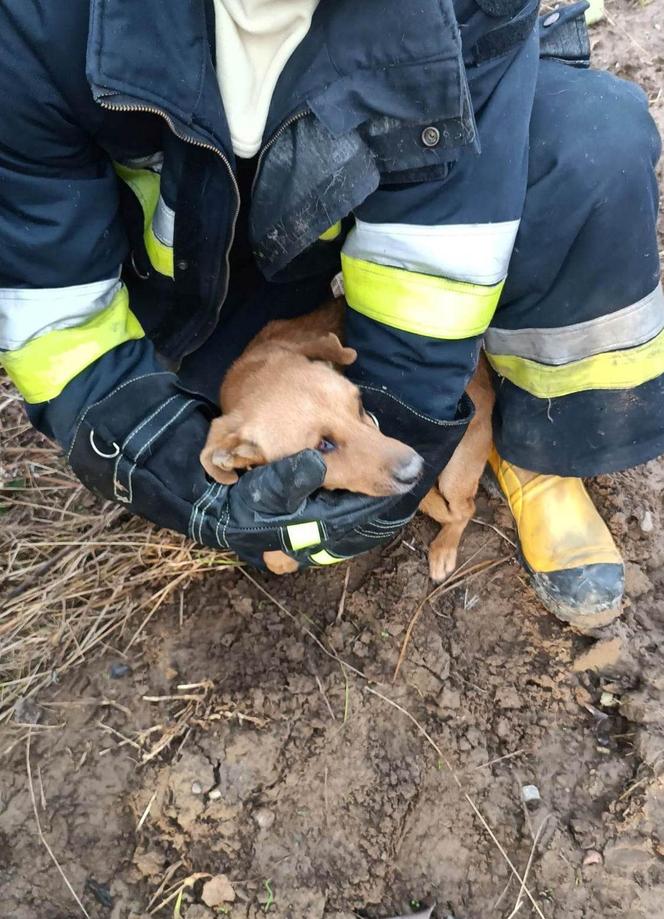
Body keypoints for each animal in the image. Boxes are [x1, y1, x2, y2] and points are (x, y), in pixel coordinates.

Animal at [201, 298, 492, 580]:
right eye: (323, 445)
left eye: (360, 406)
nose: (417, 470)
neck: (249, 371)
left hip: (454, 476)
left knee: (464, 510)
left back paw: (443, 550)